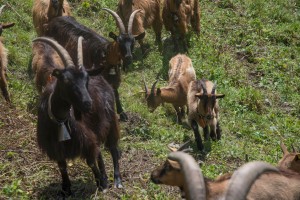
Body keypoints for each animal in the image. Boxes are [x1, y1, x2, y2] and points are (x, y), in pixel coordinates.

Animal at [32, 36, 122, 196]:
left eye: (86, 80)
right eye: (66, 80)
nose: (88, 103)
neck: (60, 120)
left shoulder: (85, 138)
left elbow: (91, 161)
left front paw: (102, 184)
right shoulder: (56, 147)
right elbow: (62, 166)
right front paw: (66, 189)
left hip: (110, 120)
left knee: (113, 148)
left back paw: (116, 179)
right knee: (99, 151)